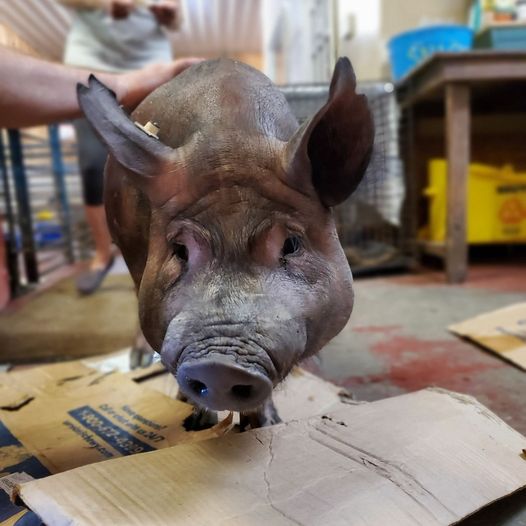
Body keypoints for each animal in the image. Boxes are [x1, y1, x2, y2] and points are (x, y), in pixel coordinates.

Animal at [77, 57, 374, 429]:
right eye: (180, 250)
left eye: (291, 244)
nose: (218, 366)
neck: (229, 137)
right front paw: (196, 424)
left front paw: (265, 424)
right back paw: (138, 362)